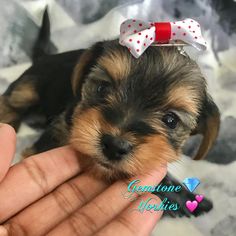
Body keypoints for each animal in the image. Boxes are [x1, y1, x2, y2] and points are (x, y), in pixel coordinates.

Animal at [0, 12, 219, 217]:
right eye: (102, 89)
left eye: (171, 120)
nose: (115, 146)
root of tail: (46, 56)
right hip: (30, 84)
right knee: (13, 100)